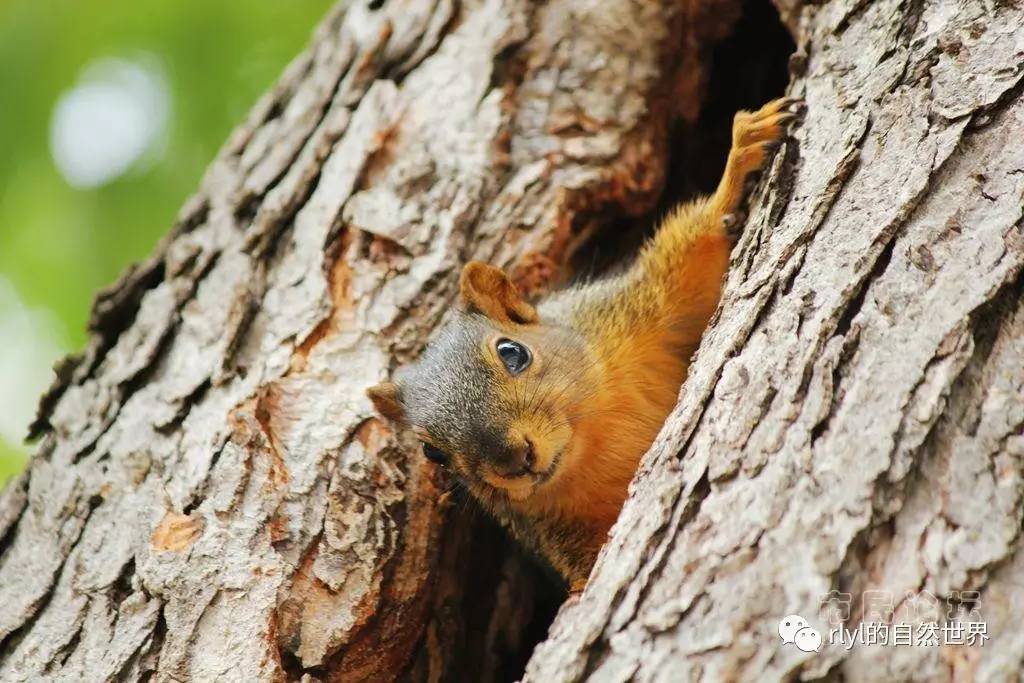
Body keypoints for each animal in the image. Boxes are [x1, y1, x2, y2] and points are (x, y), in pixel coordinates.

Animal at [366, 94, 798, 593]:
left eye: (513, 352)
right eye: (432, 453)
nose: (514, 459)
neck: (591, 442)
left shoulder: (633, 313)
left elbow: (692, 253)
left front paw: (741, 151)